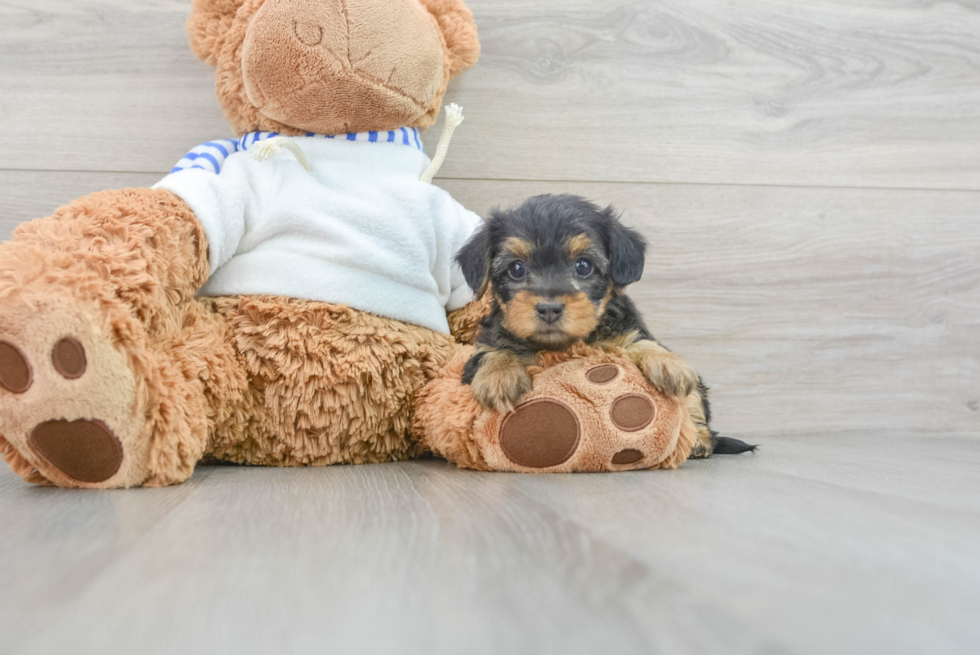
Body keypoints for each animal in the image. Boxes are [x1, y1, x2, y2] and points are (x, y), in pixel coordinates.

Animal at [456, 196, 756, 462]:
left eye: (583, 266)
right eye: (517, 268)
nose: (549, 308)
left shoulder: (625, 330)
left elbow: (640, 342)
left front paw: (668, 362)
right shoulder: (482, 346)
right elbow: (492, 351)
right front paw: (499, 377)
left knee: (696, 406)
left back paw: (698, 441)